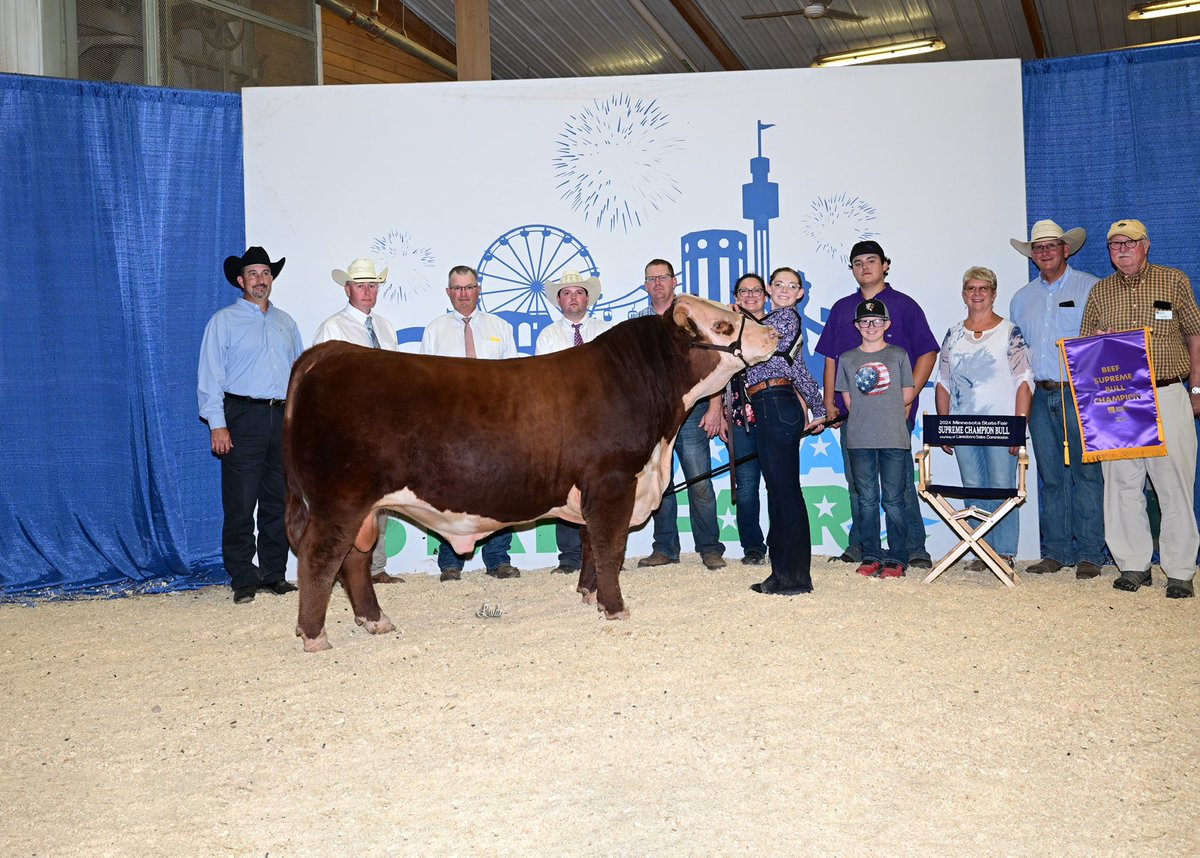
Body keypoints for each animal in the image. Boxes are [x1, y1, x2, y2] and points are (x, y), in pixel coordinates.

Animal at [283, 295, 778, 651]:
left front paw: (589, 596)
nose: (774, 333)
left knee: (355, 558)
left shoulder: (593, 490)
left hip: (366, 507)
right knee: (319, 557)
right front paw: (615, 608)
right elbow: (611, 546)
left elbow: (591, 544)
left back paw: (375, 621)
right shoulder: (613, 482)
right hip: (340, 499)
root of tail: (330, 352)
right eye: (723, 326)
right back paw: (314, 636)